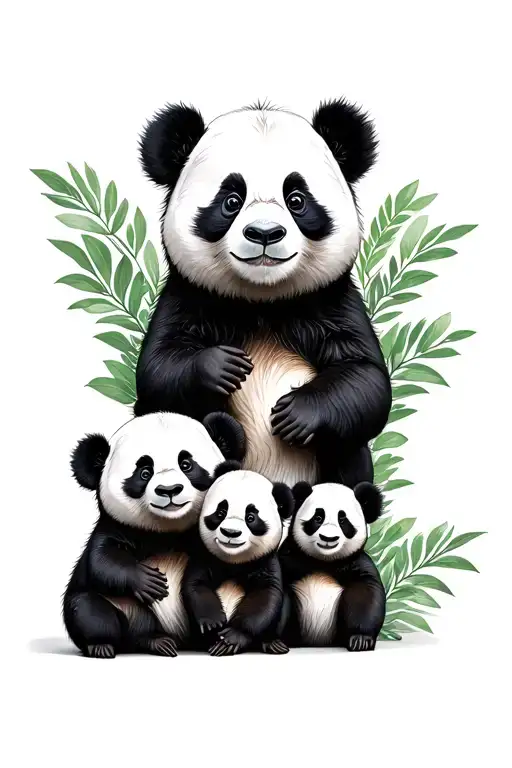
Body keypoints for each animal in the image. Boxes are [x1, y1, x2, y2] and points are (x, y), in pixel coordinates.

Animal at [63, 410, 245, 658]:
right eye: (144, 472)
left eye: (186, 464)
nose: (169, 490)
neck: (166, 532)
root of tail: (182, 640)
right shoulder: (116, 526)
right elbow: (102, 560)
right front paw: (149, 581)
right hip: (125, 609)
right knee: (89, 611)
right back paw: (119, 644)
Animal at [134, 98, 392, 491]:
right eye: (231, 200)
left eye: (296, 199)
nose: (265, 233)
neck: (263, 302)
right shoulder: (189, 297)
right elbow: (158, 370)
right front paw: (223, 366)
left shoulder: (332, 302)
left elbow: (366, 379)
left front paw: (297, 412)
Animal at [182, 461, 293, 656]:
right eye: (221, 512)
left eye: (251, 517)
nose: (230, 533)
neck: (234, 561)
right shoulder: (206, 556)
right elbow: (195, 584)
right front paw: (212, 621)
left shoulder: (265, 560)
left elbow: (265, 596)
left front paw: (231, 638)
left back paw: (272, 643)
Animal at [275, 481, 386, 652]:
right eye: (318, 518)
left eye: (343, 521)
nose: (328, 538)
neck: (324, 561)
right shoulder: (289, 559)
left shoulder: (357, 563)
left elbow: (366, 594)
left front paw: (360, 639)